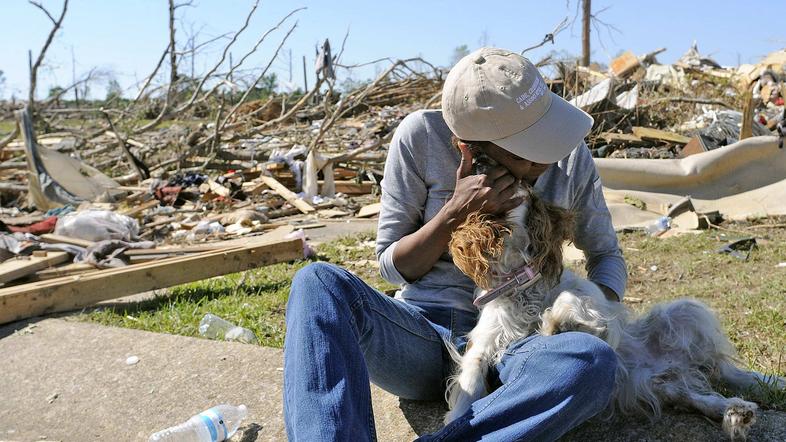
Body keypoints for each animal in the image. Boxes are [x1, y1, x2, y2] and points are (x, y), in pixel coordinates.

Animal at [440, 144, 776, 438]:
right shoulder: (482, 345)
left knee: (723, 369)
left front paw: (553, 324)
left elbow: (571, 300)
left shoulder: (601, 310)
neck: (523, 278)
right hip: (658, 384)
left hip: (683, 311)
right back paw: (735, 412)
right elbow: (469, 388)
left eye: (510, 173)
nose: (478, 157)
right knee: (695, 394)